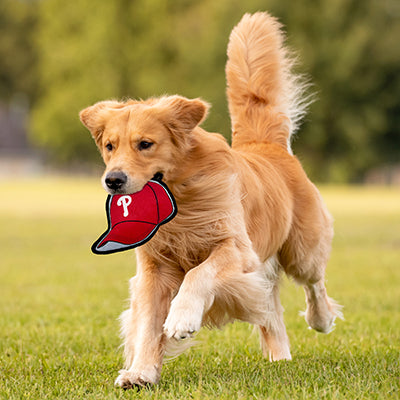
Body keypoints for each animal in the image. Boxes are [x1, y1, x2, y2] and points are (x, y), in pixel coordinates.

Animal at [79, 11, 342, 388]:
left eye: (145, 144)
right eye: (110, 146)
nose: (113, 180)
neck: (180, 201)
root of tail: (265, 144)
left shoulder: (236, 249)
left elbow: (198, 273)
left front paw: (182, 317)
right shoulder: (153, 269)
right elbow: (147, 324)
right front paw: (141, 371)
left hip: (301, 249)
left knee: (314, 282)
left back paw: (320, 319)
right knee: (271, 310)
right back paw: (280, 356)